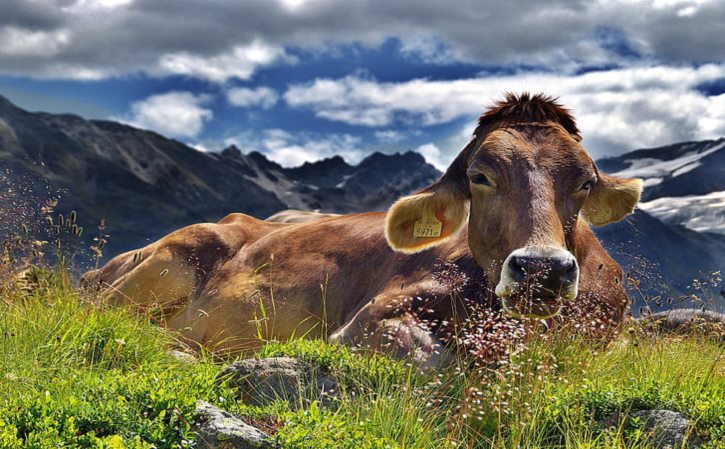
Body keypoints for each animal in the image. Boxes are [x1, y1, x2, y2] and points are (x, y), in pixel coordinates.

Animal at [82, 93, 640, 366]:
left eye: (585, 181)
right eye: (480, 176)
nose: (541, 269)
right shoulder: (370, 319)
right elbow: (428, 360)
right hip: (171, 258)